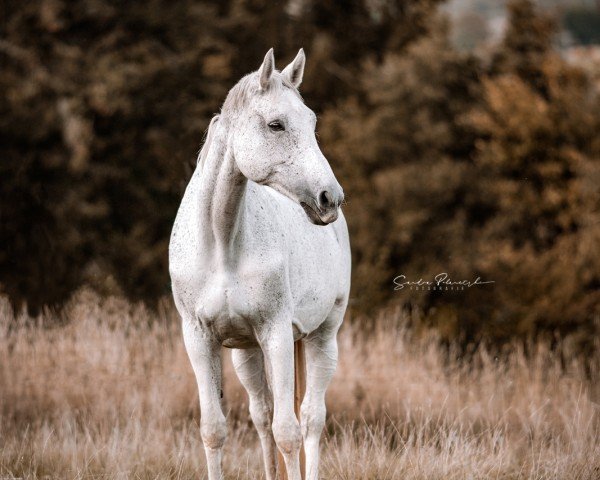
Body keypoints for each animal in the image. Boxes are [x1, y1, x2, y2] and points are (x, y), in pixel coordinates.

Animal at [169, 47, 350, 480]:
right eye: (275, 125)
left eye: (312, 122)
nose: (330, 198)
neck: (221, 244)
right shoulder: (199, 338)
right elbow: (215, 429)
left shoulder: (277, 334)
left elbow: (289, 432)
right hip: (245, 352)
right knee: (261, 414)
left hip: (322, 337)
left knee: (312, 417)